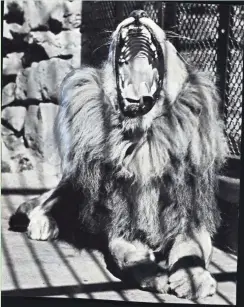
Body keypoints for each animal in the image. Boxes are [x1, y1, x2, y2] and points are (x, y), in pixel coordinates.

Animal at [9, 10, 227, 300]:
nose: (138, 13)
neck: (144, 143)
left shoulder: (190, 216)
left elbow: (192, 251)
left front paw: (193, 278)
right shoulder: (120, 225)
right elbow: (127, 256)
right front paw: (153, 273)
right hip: (75, 184)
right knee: (44, 203)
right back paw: (43, 225)